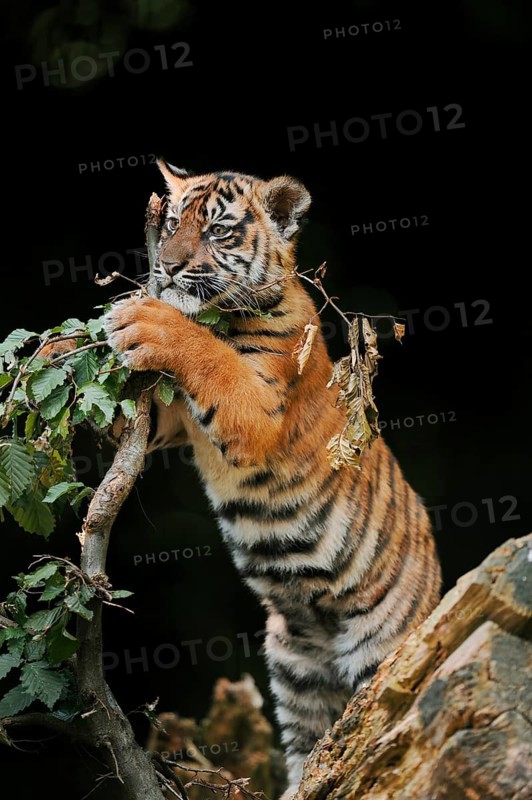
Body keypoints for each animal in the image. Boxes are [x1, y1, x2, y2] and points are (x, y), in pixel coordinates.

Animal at [103, 161, 442, 798]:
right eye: (171, 223)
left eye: (217, 230)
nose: (168, 266)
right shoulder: (171, 421)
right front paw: (52, 349)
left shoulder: (258, 409)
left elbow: (209, 357)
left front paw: (144, 319)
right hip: (294, 660)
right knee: (309, 737)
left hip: (382, 645)